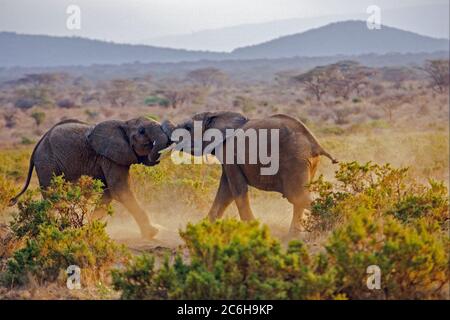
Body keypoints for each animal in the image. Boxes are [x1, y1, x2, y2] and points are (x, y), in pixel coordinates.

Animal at [11, 117, 172, 240]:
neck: (124, 123)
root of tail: (39, 143)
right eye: (142, 131)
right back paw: (50, 232)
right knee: (52, 196)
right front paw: (153, 233)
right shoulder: (109, 156)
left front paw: (89, 230)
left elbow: (108, 193)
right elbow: (120, 190)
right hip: (46, 162)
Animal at [165, 111, 338, 236]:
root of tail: (315, 143)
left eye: (188, 127)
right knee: (299, 198)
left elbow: (236, 190)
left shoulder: (229, 152)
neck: (214, 114)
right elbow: (225, 192)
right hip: (309, 163)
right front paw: (203, 229)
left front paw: (253, 230)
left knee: (297, 196)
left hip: (295, 160)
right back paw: (293, 236)